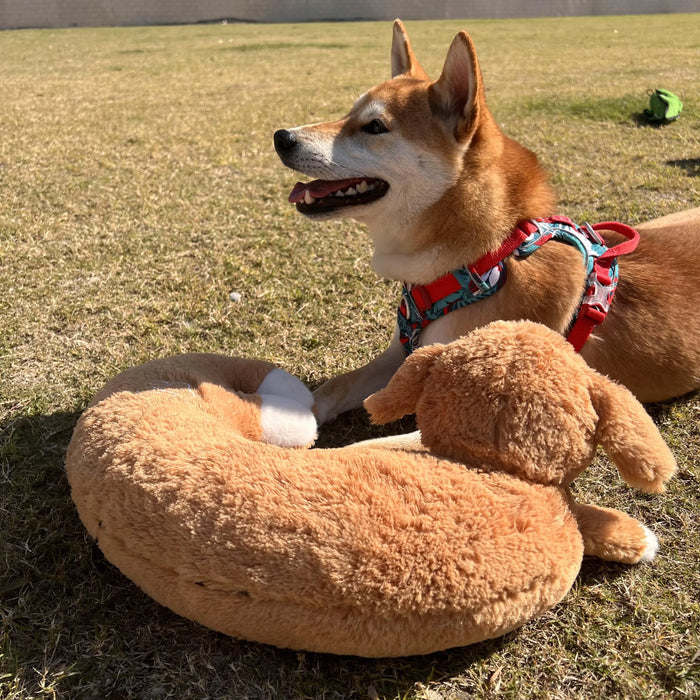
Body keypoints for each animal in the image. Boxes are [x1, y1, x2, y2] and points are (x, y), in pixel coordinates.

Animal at [274, 19, 700, 424]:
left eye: (374, 127)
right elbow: (334, 388)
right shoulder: (401, 353)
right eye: (348, 113)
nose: (281, 137)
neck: (486, 263)